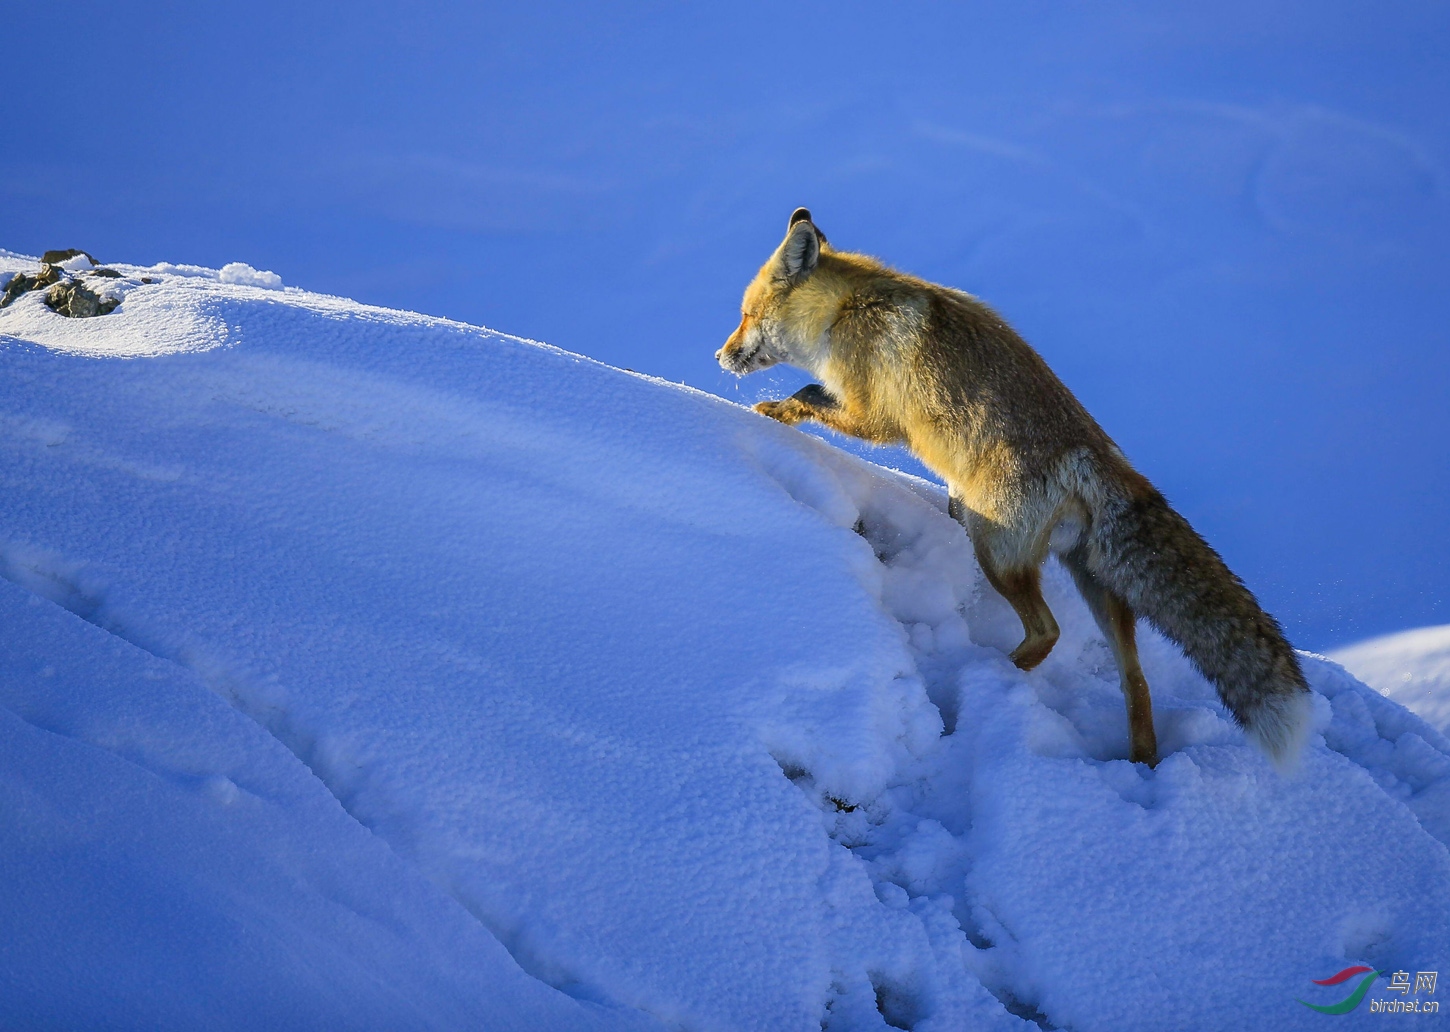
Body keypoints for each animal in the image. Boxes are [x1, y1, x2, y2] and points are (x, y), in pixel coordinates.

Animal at [713, 207, 1316, 765]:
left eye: (746, 315)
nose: (718, 356)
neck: (844, 313)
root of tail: (1094, 456)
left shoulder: (877, 417)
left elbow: (809, 393)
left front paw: (773, 413)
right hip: (1094, 584)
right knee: (1134, 678)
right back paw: (1140, 759)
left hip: (993, 548)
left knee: (1047, 631)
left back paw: (985, 678)